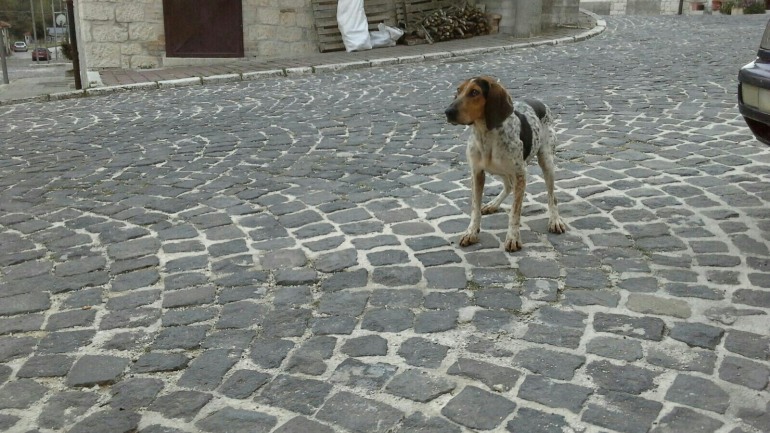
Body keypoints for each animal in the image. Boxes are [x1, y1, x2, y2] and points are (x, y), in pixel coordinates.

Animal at [444, 74, 564, 250]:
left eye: (475, 92)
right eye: (458, 91)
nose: (448, 112)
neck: (485, 134)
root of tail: (540, 102)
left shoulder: (520, 174)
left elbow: (515, 212)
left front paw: (513, 237)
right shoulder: (477, 172)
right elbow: (475, 208)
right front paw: (471, 232)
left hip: (546, 162)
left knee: (552, 197)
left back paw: (555, 220)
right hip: (499, 170)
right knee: (508, 186)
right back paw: (493, 204)